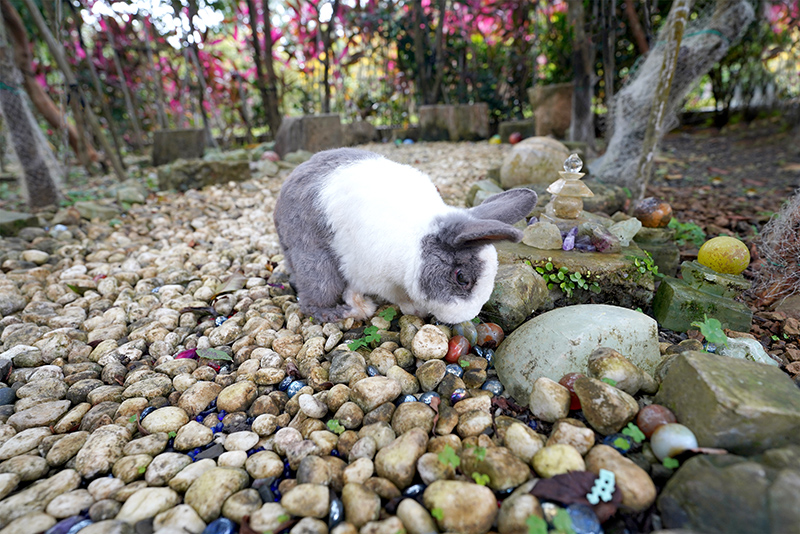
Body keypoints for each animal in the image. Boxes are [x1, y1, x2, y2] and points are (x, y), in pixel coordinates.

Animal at [274, 147, 536, 324]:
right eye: (462, 278)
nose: (464, 318)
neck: (415, 245)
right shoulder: (376, 277)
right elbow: (394, 297)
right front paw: (412, 310)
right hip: (313, 256)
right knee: (314, 292)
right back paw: (331, 313)